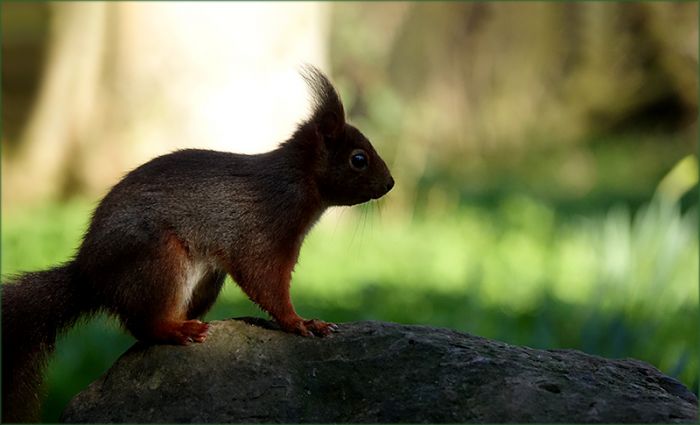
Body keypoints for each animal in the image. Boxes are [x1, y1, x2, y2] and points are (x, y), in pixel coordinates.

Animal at [1, 66, 394, 422]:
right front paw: (300, 322)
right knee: (143, 324)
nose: (390, 183)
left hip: (205, 282)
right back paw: (177, 330)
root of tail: (88, 275)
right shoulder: (261, 233)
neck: (295, 181)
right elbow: (265, 281)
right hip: (158, 260)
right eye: (359, 159)